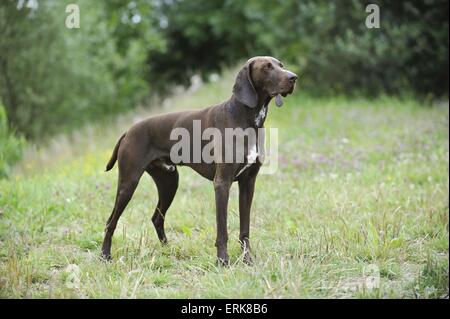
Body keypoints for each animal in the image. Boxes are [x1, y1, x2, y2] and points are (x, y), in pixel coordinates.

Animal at [102, 57, 298, 264]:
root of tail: (128, 131)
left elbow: (245, 229)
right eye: (267, 67)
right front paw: (223, 261)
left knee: (157, 218)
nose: (294, 77)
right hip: (129, 184)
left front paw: (247, 260)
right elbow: (222, 230)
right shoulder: (222, 183)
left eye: (281, 65)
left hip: (169, 183)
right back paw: (105, 255)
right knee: (111, 222)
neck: (246, 120)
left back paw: (168, 251)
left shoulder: (248, 183)